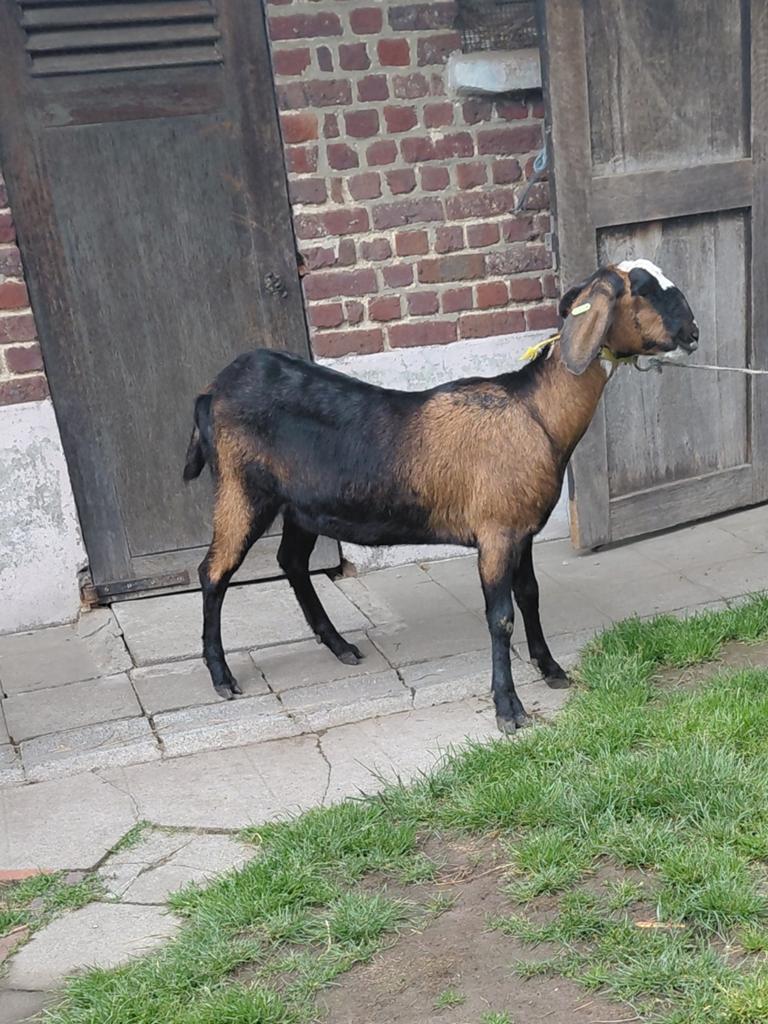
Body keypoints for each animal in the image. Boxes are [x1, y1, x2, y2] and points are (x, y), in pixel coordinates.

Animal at [183, 260, 698, 733]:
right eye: (645, 289)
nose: (693, 331)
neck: (534, 413)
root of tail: (210, 391)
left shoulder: (522, 530)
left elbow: (530, 596)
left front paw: (551, 669)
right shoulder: (496, 533)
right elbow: (501, 618)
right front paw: (508, 710)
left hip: (301, 505)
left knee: (290, 560)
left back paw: (340, 646)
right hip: (241, 489)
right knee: (214, 572)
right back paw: (221, 676)